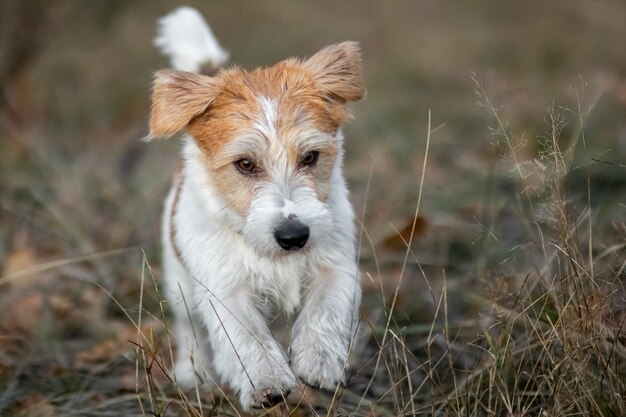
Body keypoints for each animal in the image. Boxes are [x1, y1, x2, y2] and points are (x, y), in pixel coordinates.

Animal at [149, 7, 364, 410]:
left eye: (310, 157)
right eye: (245, 164)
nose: (294, 236)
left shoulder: (336, 263)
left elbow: (325, 309)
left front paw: (319, 361)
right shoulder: (224, 288)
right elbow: (247, 338)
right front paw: (267, 381)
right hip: (178, 283)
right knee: (188, 327)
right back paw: (192, 372)